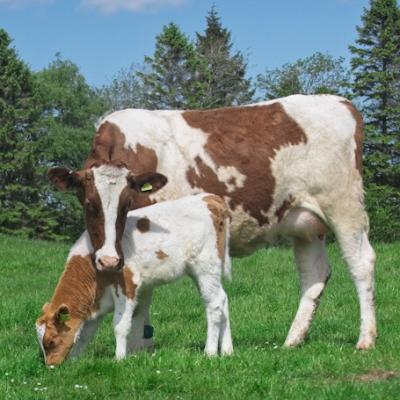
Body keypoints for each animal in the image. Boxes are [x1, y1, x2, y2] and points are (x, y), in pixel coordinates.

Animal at [36, 194, 234, 366]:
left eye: (51, 341)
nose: (51, 366)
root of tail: (209, 198)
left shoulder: (126, 285)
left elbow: (120, 326)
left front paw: (119, 358)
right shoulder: (98, 302)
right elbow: (85, 333)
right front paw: (75, 361)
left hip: (205, 267)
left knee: (214, 305)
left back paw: (209, 352)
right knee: (223, 300)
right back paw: (226, 350)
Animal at [48, 94, 376, 350]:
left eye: (127, 202)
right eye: (88, 203)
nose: (107, 260)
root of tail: (342, 102)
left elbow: (142, 295)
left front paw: (137, 348)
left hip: (344, 207)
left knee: (362, 263)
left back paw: (365, 339)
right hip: (305, 225)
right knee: (314, 274)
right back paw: (292, 341)